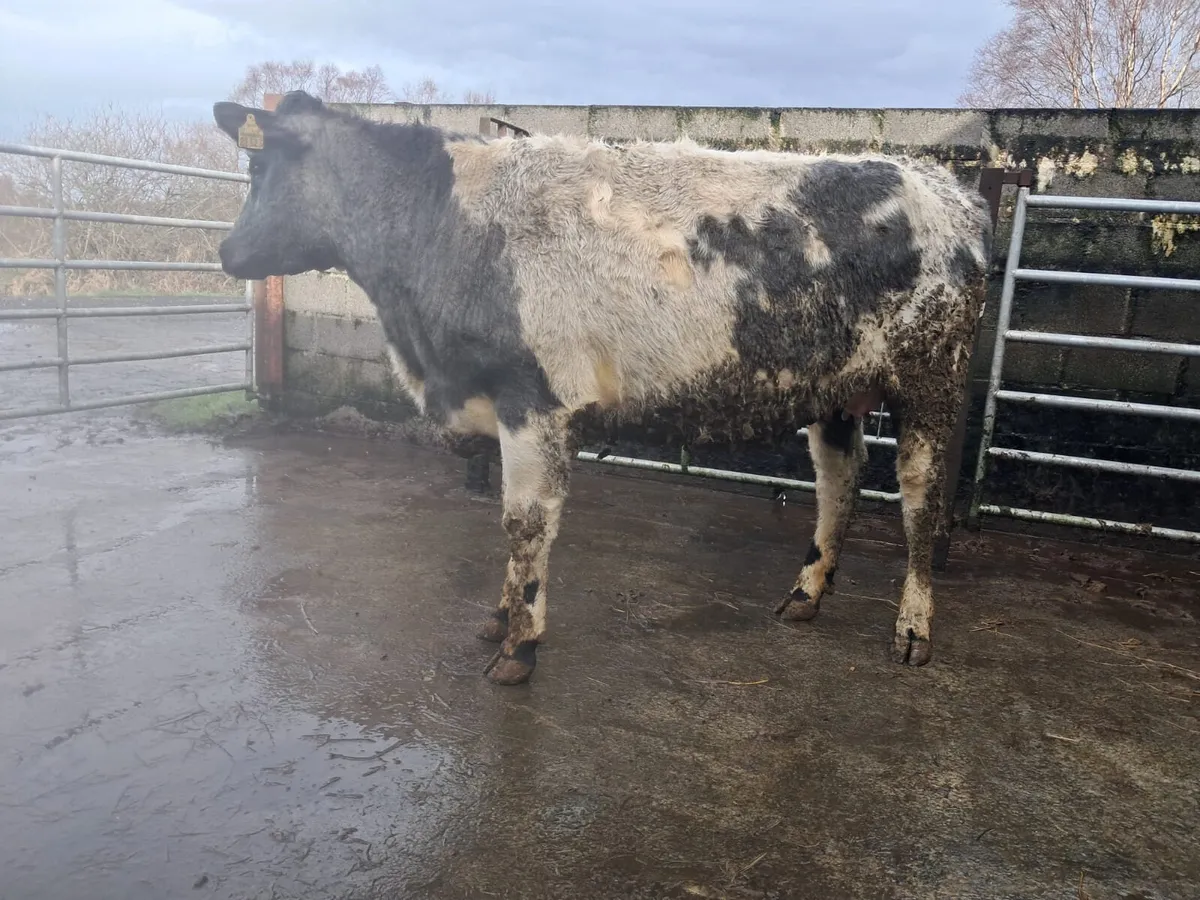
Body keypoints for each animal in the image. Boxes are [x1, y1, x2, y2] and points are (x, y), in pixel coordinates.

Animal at [213, 90, 993, 686]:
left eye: (259, 165)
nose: (225, 251)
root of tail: (943, 186)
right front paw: (499, 617)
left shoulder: (533, 402)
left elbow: (524, 523)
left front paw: (519, 645)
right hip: (833, 389)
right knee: (840, 480)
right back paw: (805, 593)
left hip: (933, 376)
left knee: (919, 497)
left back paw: (914, 628)